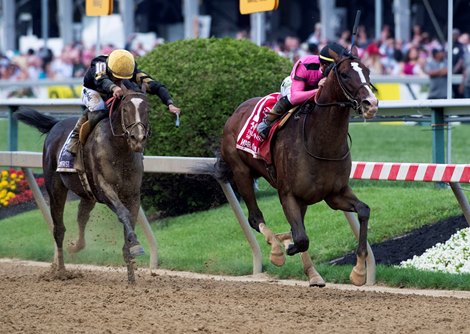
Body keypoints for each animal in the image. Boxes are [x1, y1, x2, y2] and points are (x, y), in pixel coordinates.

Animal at [14, 82, 150, 284]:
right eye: (125, 109)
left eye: (147, 109)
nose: (138, 138)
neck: (120, 152)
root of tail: (56, 124)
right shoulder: (105, 189)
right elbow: (123, 214)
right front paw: (135, 246)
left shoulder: (132, 194)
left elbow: (130, 221)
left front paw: (131, 272)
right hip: (55, 188)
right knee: (59, 229)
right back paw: (61, 271)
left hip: (87, 194)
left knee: (82, 216)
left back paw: (76, 246)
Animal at [215, 46, 376, 288]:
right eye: (345, 74)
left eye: (367, 71)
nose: (371, 104)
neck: (320, 143)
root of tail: (236, 112)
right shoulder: (288, 194)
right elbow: (301, 239)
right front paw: (284, 248)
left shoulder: (335, 193)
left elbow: (363, 210)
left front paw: (358, 271)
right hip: (241, 172)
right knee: (255, 218)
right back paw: (276, 250)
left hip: (303, 199)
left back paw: (312, 273)